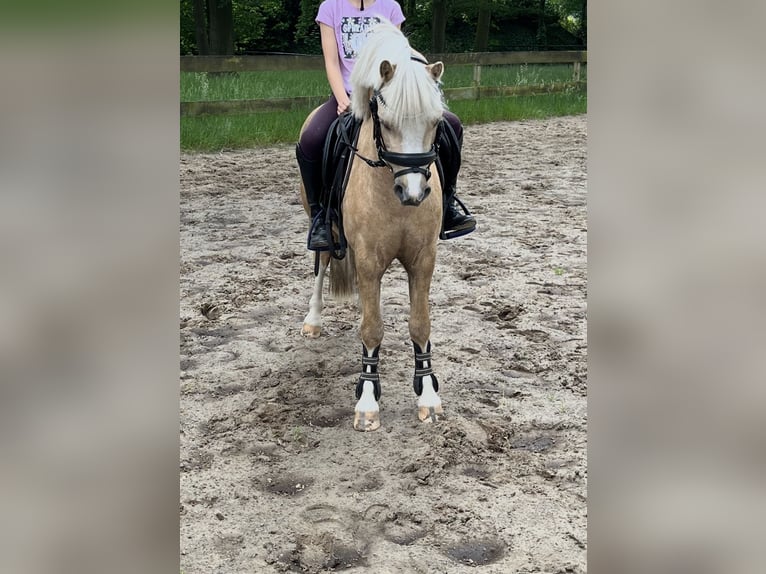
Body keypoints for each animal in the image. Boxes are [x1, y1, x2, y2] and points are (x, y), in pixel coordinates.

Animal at [298, 21, 447, 431]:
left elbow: (420, 324)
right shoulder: (367, 260)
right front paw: (367, 401)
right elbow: (372, 328)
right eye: (388, 122)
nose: (413, 192)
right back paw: (313, 319)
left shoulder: (423, 259)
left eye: (435, 123)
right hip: (324, 229)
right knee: (322, 265)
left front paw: (428, 394)